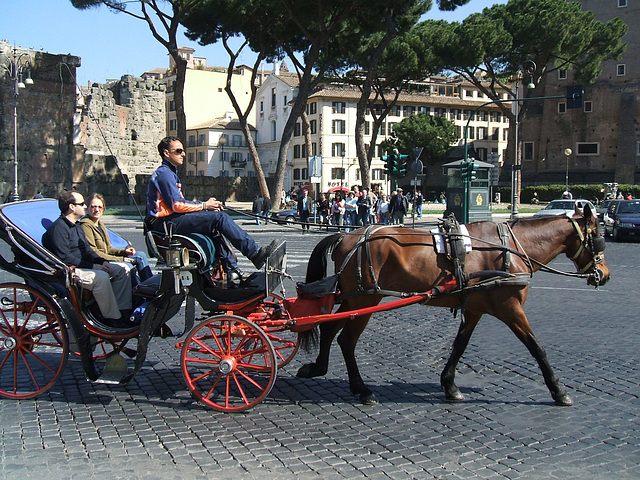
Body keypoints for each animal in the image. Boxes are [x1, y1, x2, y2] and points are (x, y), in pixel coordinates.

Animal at [298, 204, 608, 406]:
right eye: (599, 238)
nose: (603, 275)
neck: (510, 249)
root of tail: (345, 235)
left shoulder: (473, 308)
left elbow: (460, 345)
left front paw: (449, 384)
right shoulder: (511, 308)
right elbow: (536, 347)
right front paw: (558, 390)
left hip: (355, 298)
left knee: (330, 331)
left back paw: (320, 368)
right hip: (365, 298)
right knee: (347, 340)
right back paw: (361, 389)